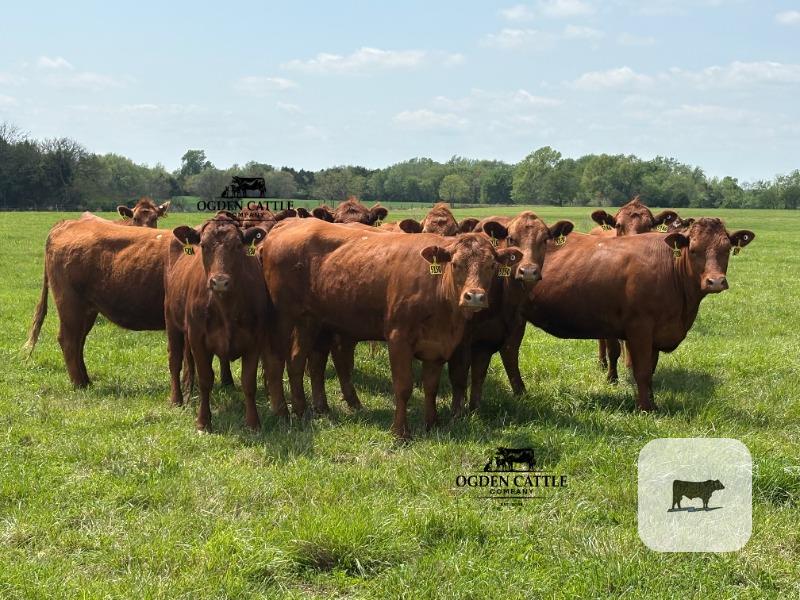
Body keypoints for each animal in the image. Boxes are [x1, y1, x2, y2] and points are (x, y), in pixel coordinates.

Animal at [165, 212, 275, 431]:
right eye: (203, 245)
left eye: (238, 246)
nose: (220, 282)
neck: (226, 307)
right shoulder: (198, 339)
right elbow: (205, 379)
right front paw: (203, 422)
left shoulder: (255, 340)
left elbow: (248, 382)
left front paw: (253, 423)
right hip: (172, 322)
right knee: (175, 361)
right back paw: (177, 398)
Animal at [261, 219, 522, 438]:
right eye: (456, 264)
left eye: (491, 266)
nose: (474, 296)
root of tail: (287, 224)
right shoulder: (399, 338)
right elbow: (403, 386)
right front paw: (401, 431)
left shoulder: (438, 345)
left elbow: (431, 386)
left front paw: (432, 423)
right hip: (283, 317)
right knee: (276, 360)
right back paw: (283, 412)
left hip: (309, 320)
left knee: (298, 361)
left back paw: (304, 410)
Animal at [448, 212, 574, 414]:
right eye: (511, 238)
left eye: (544, 240)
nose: (528, 271)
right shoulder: (463, 340)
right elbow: (460, 375)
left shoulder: (510, 329)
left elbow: (497, 366)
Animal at [518, 218, 754, 411]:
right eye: (694, 250)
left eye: (726, 249)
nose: (715, 281)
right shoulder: (640, 328)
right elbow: (641, 371)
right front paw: (645, 408)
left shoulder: (657, 333)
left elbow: (650, 370)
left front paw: (652, 402)